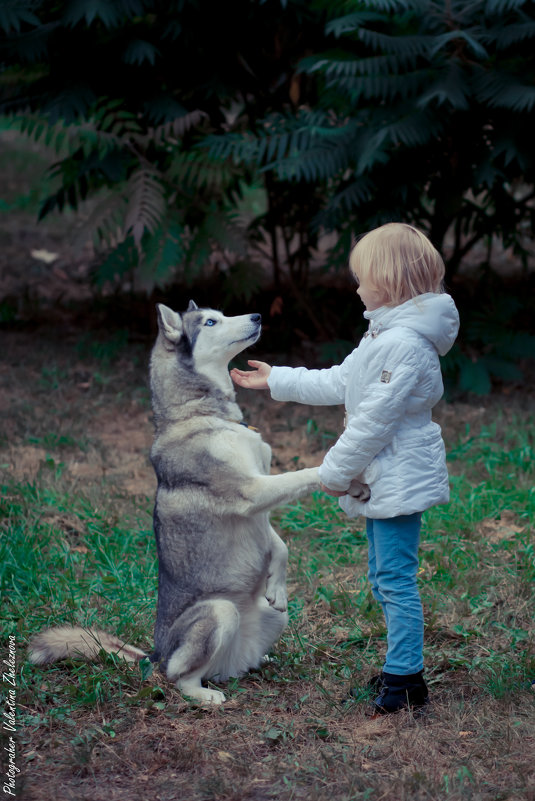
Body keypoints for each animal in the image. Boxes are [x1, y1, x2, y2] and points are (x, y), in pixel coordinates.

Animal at [28, 304, 322, 704]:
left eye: (223, 313)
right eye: (211, 321)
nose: (258, 316)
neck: (204, 413)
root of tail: (156, 655)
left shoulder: (260, 501)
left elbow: (279, 544)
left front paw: (276, 583)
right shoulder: (252, 491)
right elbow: (302, 476)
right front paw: (338, 470)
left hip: (273, 619)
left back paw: (257, 662)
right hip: (218, 612)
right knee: (179, 677)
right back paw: (204, 696)